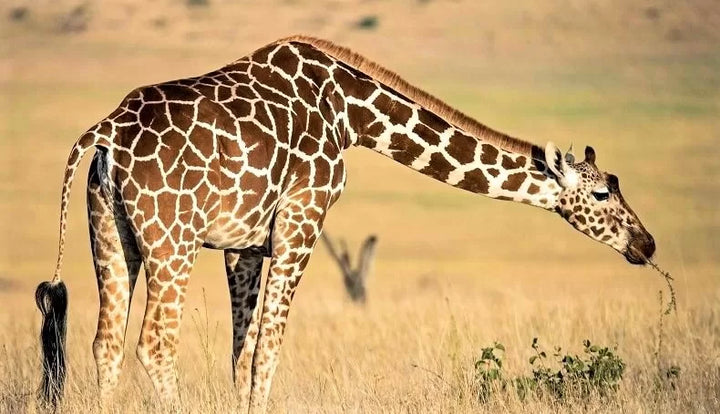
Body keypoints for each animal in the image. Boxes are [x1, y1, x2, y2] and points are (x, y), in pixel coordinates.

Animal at [34, 35, 655, 411]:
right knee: (155, 343)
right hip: (172, 239)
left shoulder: (246, 243)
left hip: (110, 232)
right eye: (602, 191)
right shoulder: (302, 220)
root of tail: (105, 132)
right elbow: (268, 349)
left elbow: (242, 350)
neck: (352, 113)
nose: (646, 243)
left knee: (106, 342)